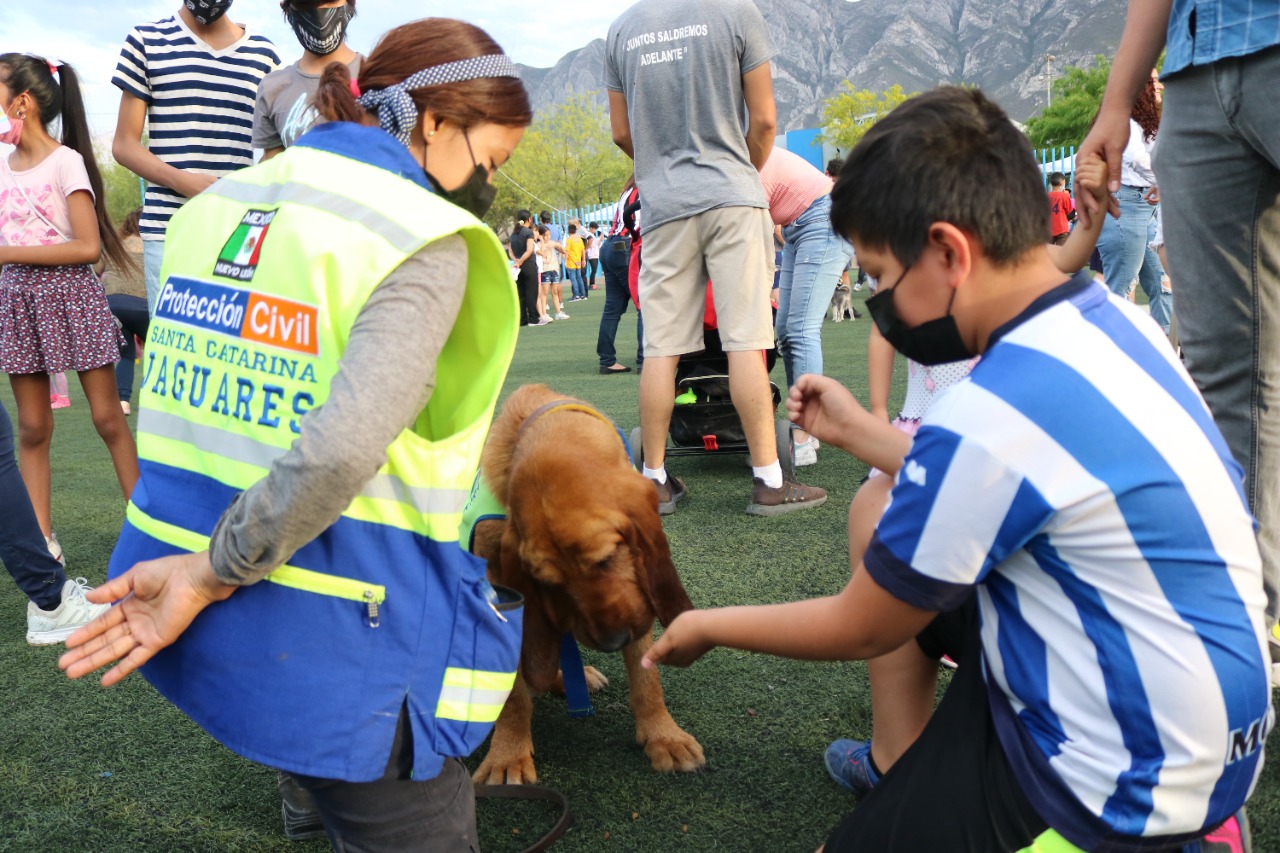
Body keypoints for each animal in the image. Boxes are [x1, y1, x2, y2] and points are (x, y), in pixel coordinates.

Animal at [473, 381, 711, 778]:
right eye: (549, 582)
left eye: (606, 559)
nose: (614, 641)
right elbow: (513, 696)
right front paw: (507, 756)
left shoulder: (638, 594)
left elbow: (646, 676)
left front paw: (663, 735)